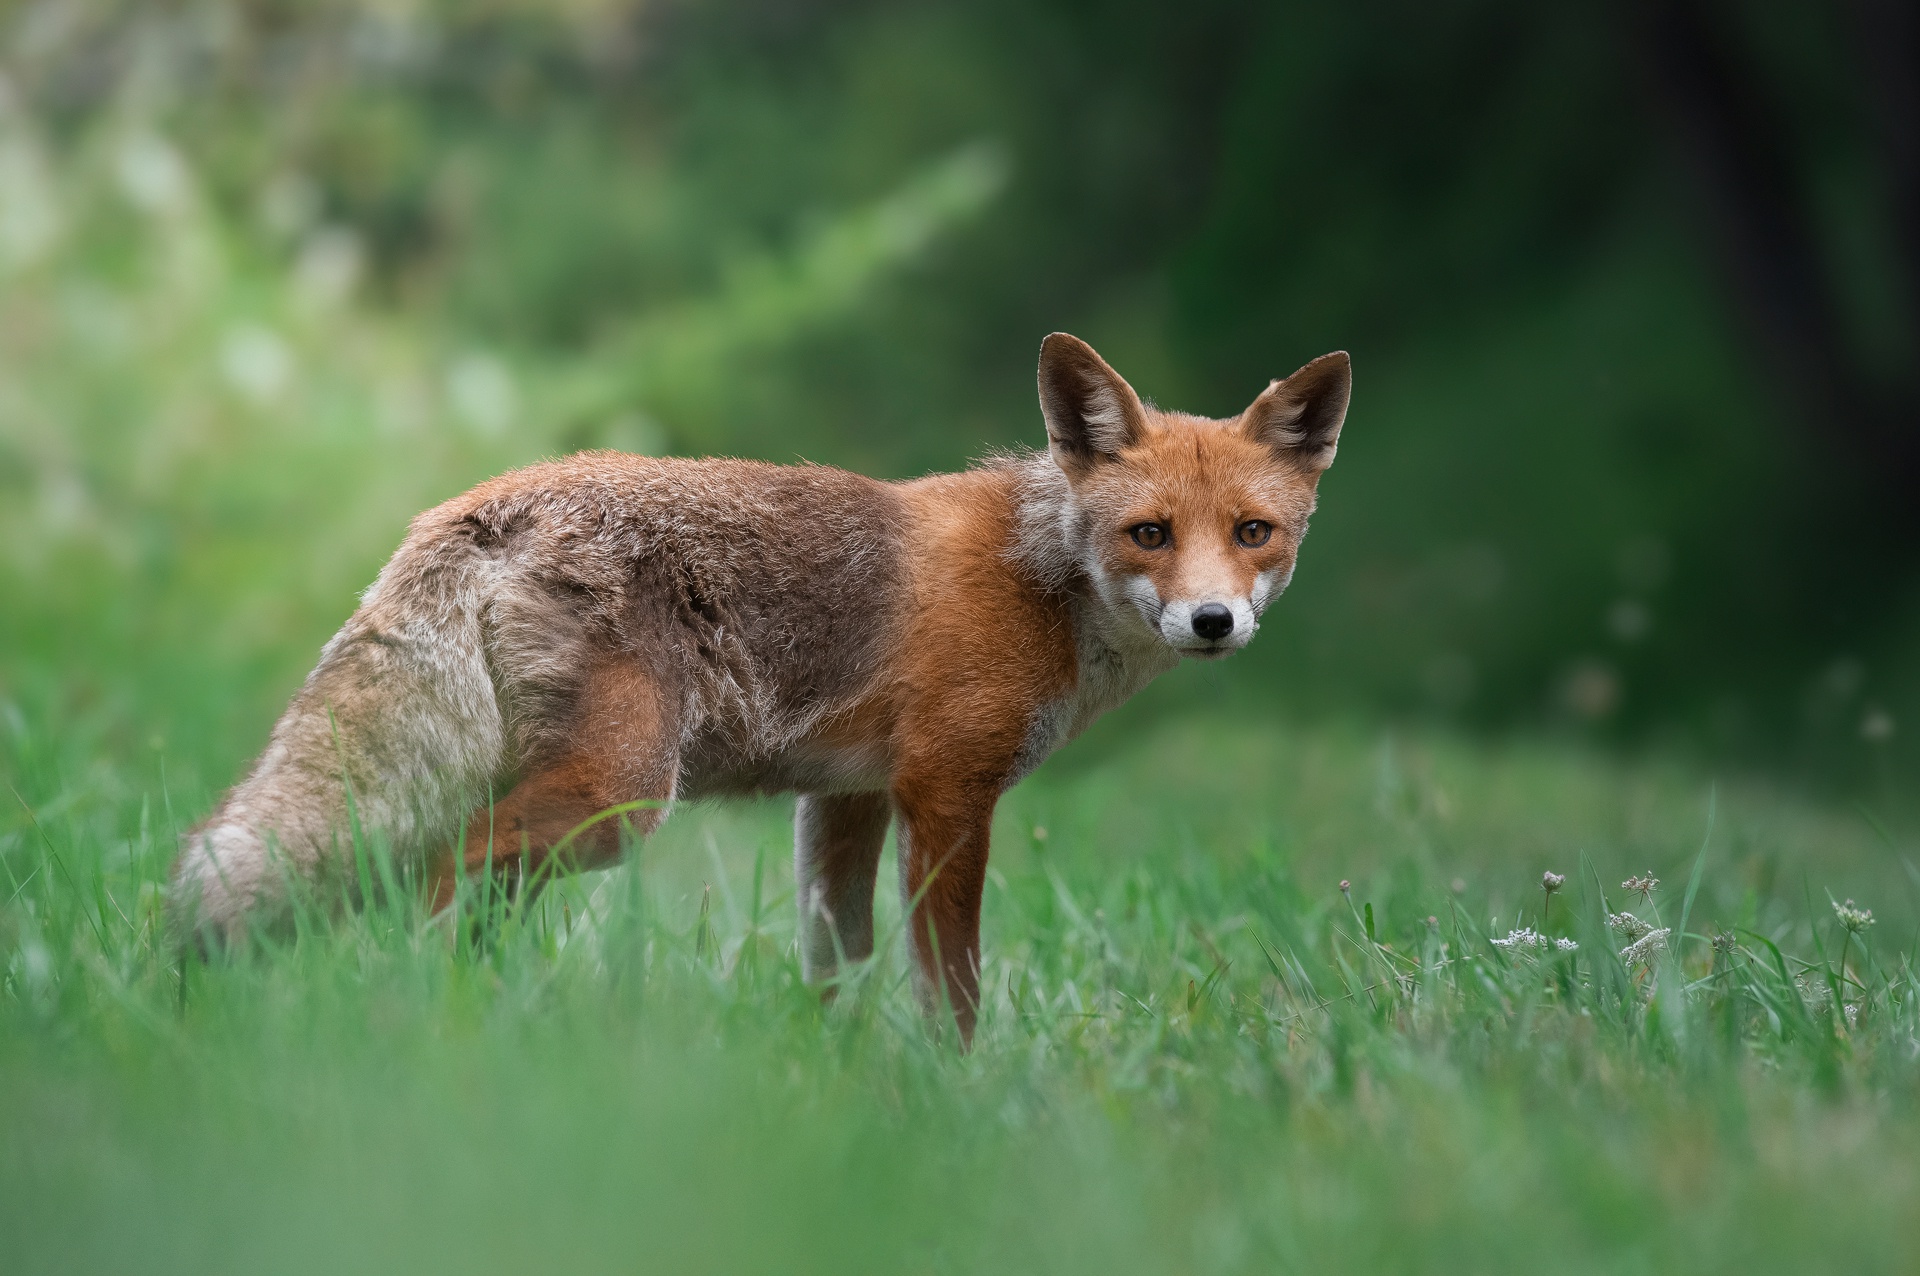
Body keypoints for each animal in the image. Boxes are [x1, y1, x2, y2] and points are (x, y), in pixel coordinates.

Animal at [176, 333, 1351, 1043]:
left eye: (1254, 533)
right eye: (1149, 534)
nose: (1213, 621)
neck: (1040, 578)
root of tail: (479, 500)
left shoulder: (848, 797)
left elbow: (838, 959)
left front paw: (836, 1080)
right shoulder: (947, 792)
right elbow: (952, 984)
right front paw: (961, 1094)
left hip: (573, 798)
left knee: (466, 893)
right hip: (617, 797)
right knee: (432, 869)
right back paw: (422, 1013)